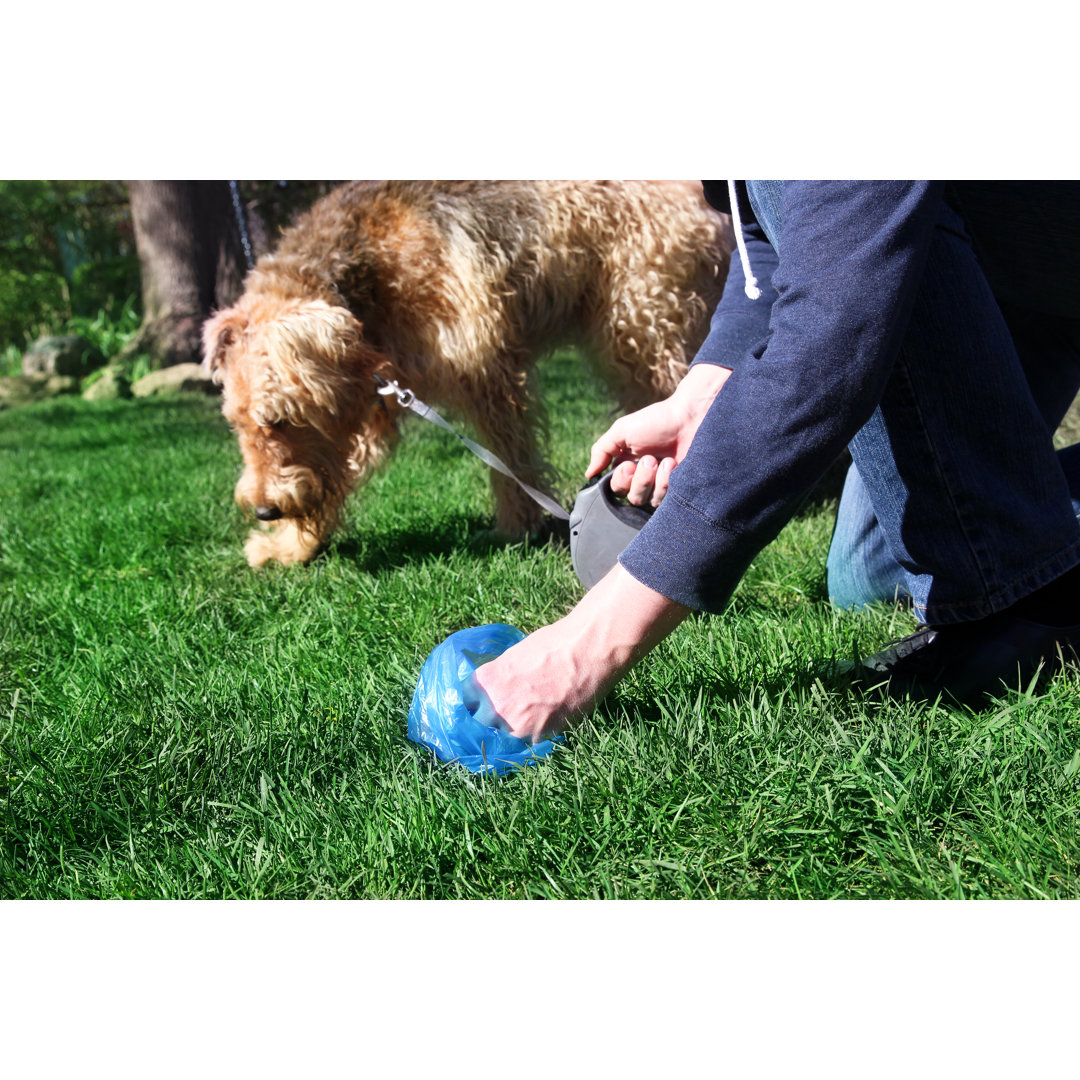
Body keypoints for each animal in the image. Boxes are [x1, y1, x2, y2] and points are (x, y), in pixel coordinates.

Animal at [200, 179, 734, 565]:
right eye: (237, 424)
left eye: (280, 419)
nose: (265, 508)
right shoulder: (374, 402)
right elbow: (337, 475)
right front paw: (290, 546)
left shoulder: (484, 369)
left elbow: (510, 456)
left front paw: (519, 526)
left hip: (642, 323)